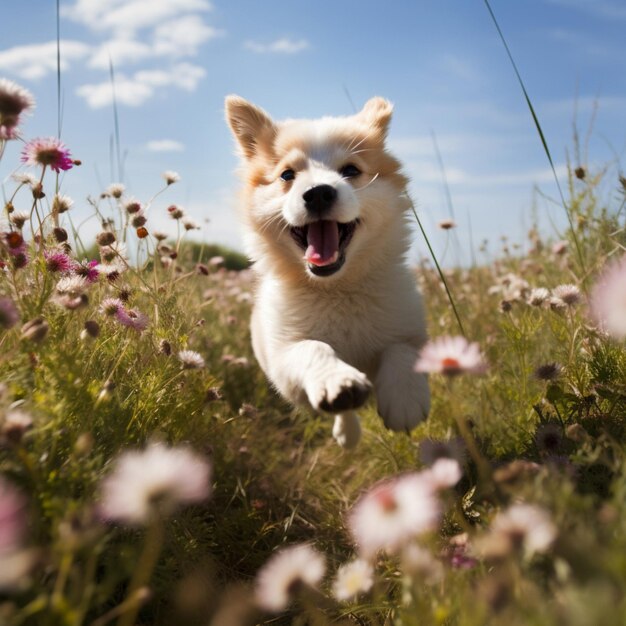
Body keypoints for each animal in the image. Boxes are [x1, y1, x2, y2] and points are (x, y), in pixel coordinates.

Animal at [224, 95, 428, 446]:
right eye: (286, 175)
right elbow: (313, 347)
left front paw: (404, 398)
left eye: (350, 170)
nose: (318, 192)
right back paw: (347, 428)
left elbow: (402, 348)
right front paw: (338, 381)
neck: (337, 288)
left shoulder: (409, 324)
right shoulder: (283, 356)